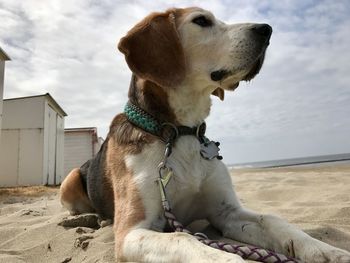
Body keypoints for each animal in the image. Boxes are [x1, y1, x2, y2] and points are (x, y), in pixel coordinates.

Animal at [60, 6, 350, 263]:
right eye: (201, 20)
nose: (266, 30)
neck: (180, 133)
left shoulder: (227, 213)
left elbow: (273, 219)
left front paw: (325, 250)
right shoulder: (132, 231)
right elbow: (184, 238)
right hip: (71, 177)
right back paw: (92, 219)